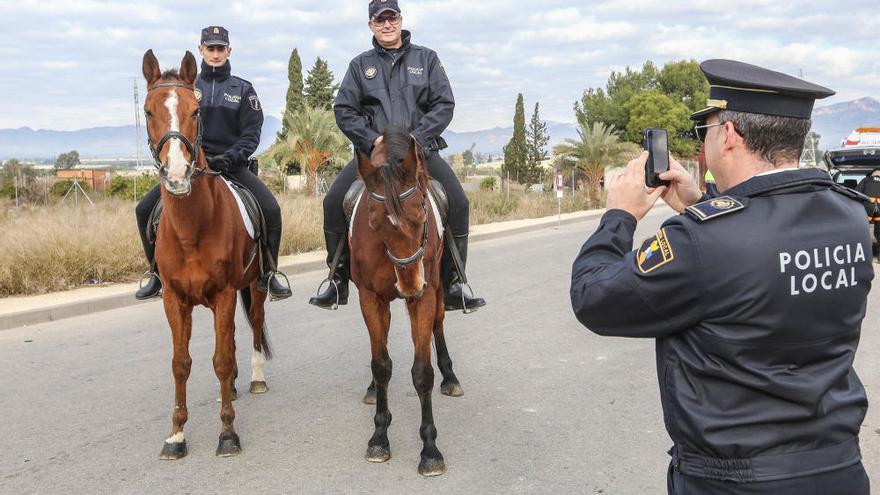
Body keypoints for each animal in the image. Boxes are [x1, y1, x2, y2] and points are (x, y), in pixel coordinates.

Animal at [142, 51, 272, 462]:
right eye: (148, 111)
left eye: (196, 110)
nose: (178, 175)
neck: (191, 229)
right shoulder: (174, 299)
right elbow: (181, 364)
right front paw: (176, 435)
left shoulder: (226, 294)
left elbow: (221, 359)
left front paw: (227, 434)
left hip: (256, 286)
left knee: (254, 327)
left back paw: (255, 379)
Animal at [350, 127, 464, 476]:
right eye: (373, 222)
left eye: (421, 212)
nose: (410, 284)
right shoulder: (370, 298)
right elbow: (381, 365)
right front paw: (379, 437)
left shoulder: (423, 298)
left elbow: (422, 373)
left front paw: (430, 450)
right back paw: (372, 390)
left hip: (437, 290)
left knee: (439, 324)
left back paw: (451, 378)